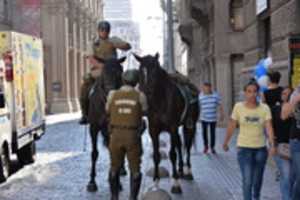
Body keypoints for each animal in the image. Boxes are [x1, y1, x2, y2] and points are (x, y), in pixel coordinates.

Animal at [86, 57, 125, 191]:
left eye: (119, 72)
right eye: (104, 73)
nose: (110, 92)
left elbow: (115, 152)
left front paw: (116, 182)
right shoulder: (93, 128)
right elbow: (94, 153)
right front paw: (92, 182)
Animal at [134, 53, 199, 194]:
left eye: (154, 72)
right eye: (140, 72)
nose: (144, 96)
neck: (160, 101)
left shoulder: (172, 128)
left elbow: (172, 154)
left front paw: (175, 183)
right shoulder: (153, 130)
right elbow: (156, 156)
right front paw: (155, 183)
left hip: (190, 126)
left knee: (187, 145)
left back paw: (187, 171)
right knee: (180, 144)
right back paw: (180, 170)